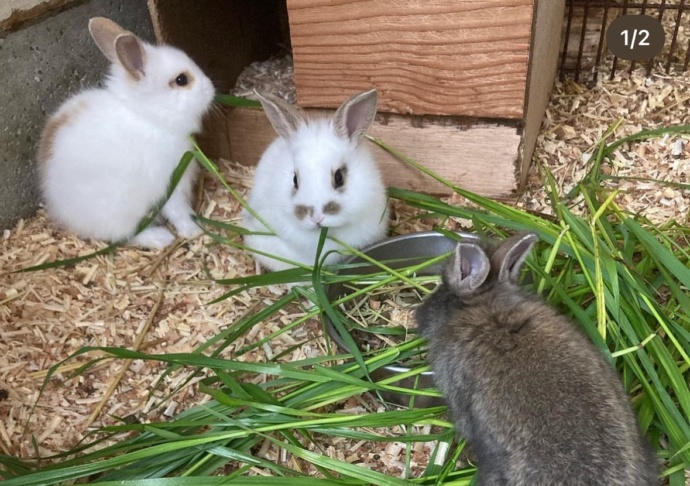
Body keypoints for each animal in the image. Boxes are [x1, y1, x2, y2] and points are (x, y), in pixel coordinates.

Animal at [37, 17, 214, 249]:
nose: (211, 88)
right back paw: (161, 238)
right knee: (124, 236)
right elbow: (179, 212)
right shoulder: (171, 183)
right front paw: (194, 230)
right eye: (181, 80)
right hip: (120, 211)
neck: (148, 117)